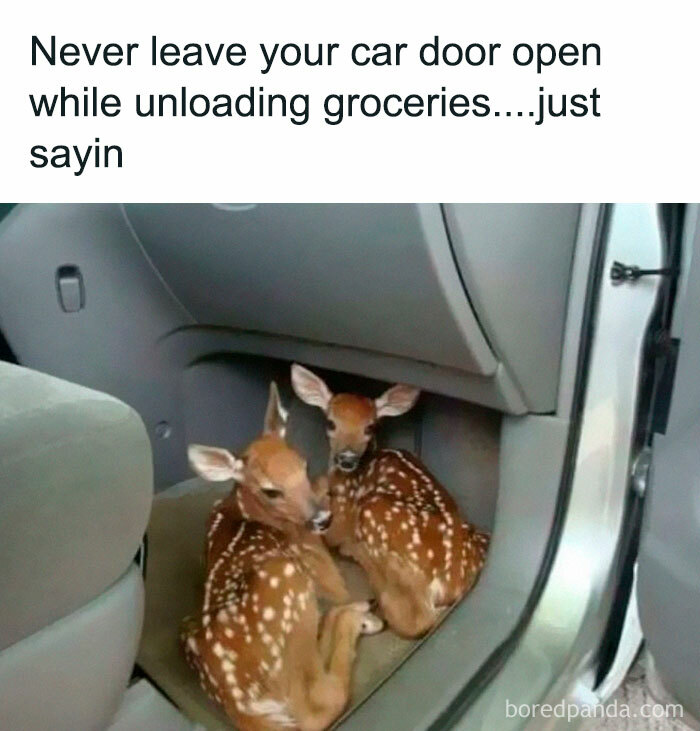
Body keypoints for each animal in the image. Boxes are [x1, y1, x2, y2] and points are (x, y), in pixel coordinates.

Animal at [181, 382, 384, 731]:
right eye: (270, 491)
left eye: (302, 463)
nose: (322, 519)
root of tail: (241, 703)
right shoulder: (318, 560)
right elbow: (337, 586)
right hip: (287, 585)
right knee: (318, 705)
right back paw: (360, 616)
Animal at [291, 363, 490, 639]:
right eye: (331, 423)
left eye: (370, 427)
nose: (347, 458)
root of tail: (451, 584)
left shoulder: (343, 515)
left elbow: (330, 529)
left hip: (374, 513)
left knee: (414, 619)